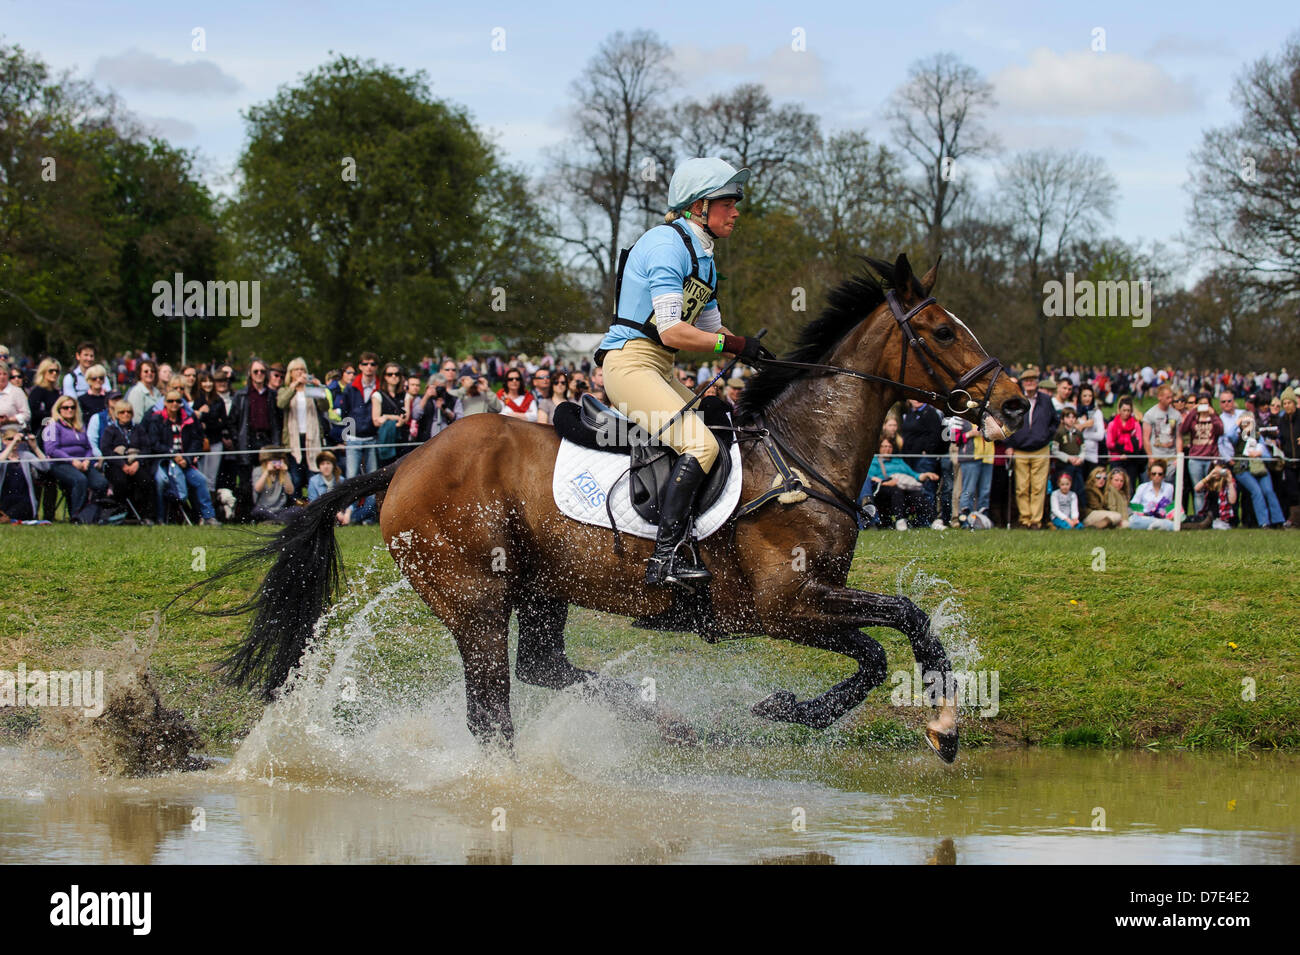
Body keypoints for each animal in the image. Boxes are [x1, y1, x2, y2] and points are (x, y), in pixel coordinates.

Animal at [195, 252, 1024, 764]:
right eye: (942, 330)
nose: (1015, 402)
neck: (801, 455)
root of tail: (408, 460)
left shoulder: (808, 604)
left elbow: (885, 643)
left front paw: (803, 710)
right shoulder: (784, 605)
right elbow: (900, 629)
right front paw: (934, 726)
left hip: (541, 584)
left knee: (544, 668)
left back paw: (667, 724)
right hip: (474, 598)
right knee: (493, 710)